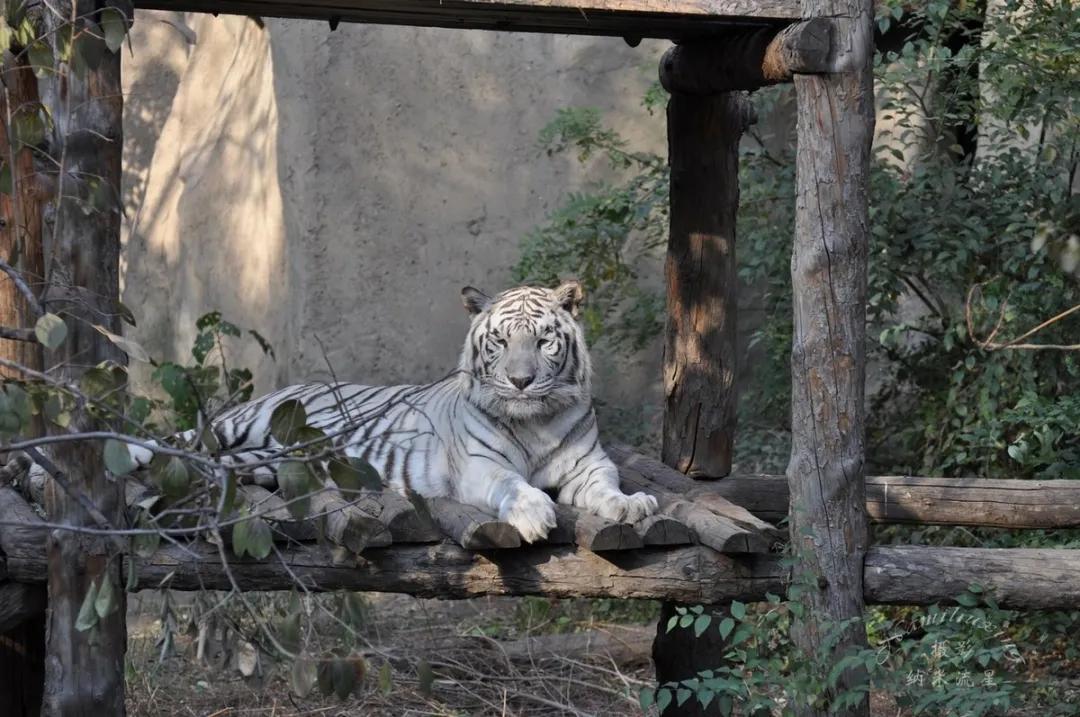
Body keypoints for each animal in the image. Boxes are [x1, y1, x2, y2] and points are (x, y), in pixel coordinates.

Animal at [135, 282, 656, 539]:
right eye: (502, 342)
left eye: (544, 341)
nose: (521, 381)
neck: (535, 423)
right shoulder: (482, 468)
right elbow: (514, 485)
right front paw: (534, 513)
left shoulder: (589, 465)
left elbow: (608, 486)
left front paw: (632, 504)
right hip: (244, 423)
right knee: (185, 437)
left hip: (257, 456)